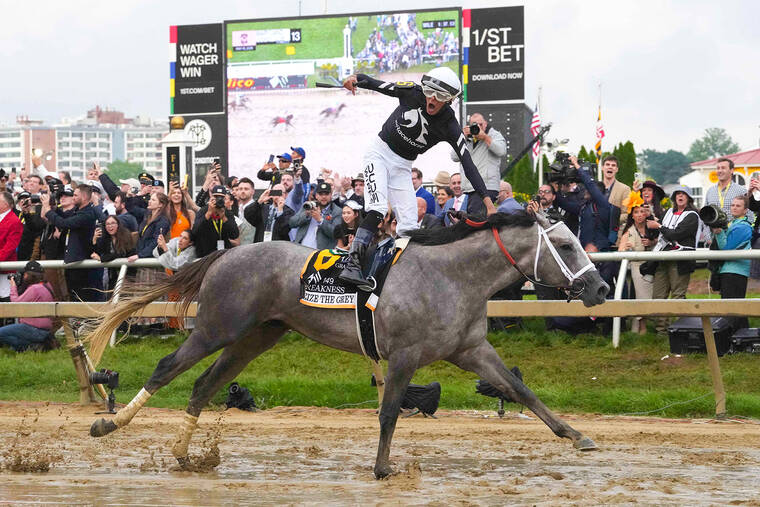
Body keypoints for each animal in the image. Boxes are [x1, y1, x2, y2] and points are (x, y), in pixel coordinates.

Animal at [87, 211, 604, 480]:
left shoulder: (471, 349)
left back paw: (183, 453)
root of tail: (225, 253)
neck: (451, 276)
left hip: (257, 336)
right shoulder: (404, 355)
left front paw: (578, 436)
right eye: (566, 245)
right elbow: (390, 410)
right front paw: (382, 467)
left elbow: (522, 391)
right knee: (166, 367)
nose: (599, 289)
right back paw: (109, 424)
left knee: (202, 385)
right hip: (219, 327)